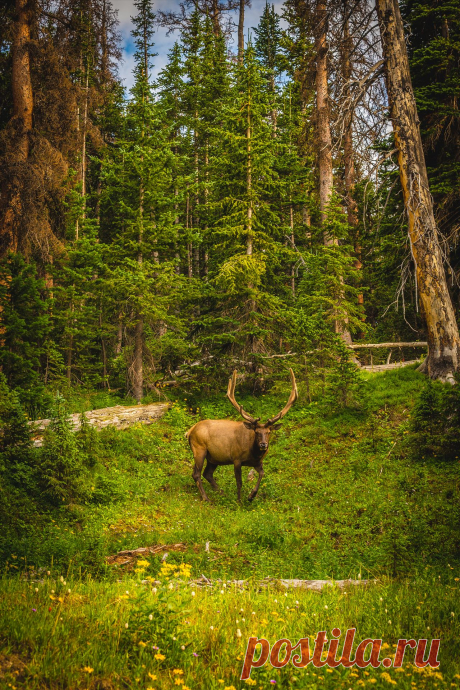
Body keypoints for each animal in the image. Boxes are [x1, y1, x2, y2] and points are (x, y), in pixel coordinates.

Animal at [184, 368, 298, 502]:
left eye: (269, 432)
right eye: (256, 432)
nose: (263, 445)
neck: (253, 452)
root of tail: (189, 431)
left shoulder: (257, 462)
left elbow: (262, 474)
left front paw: (251, 496)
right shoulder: (236, 458)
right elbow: (239, 482)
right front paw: (239, 501)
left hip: (213, 457)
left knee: (207, 473)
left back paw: (222, 493)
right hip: (199, 449)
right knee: (196, 473)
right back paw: (206, 497)